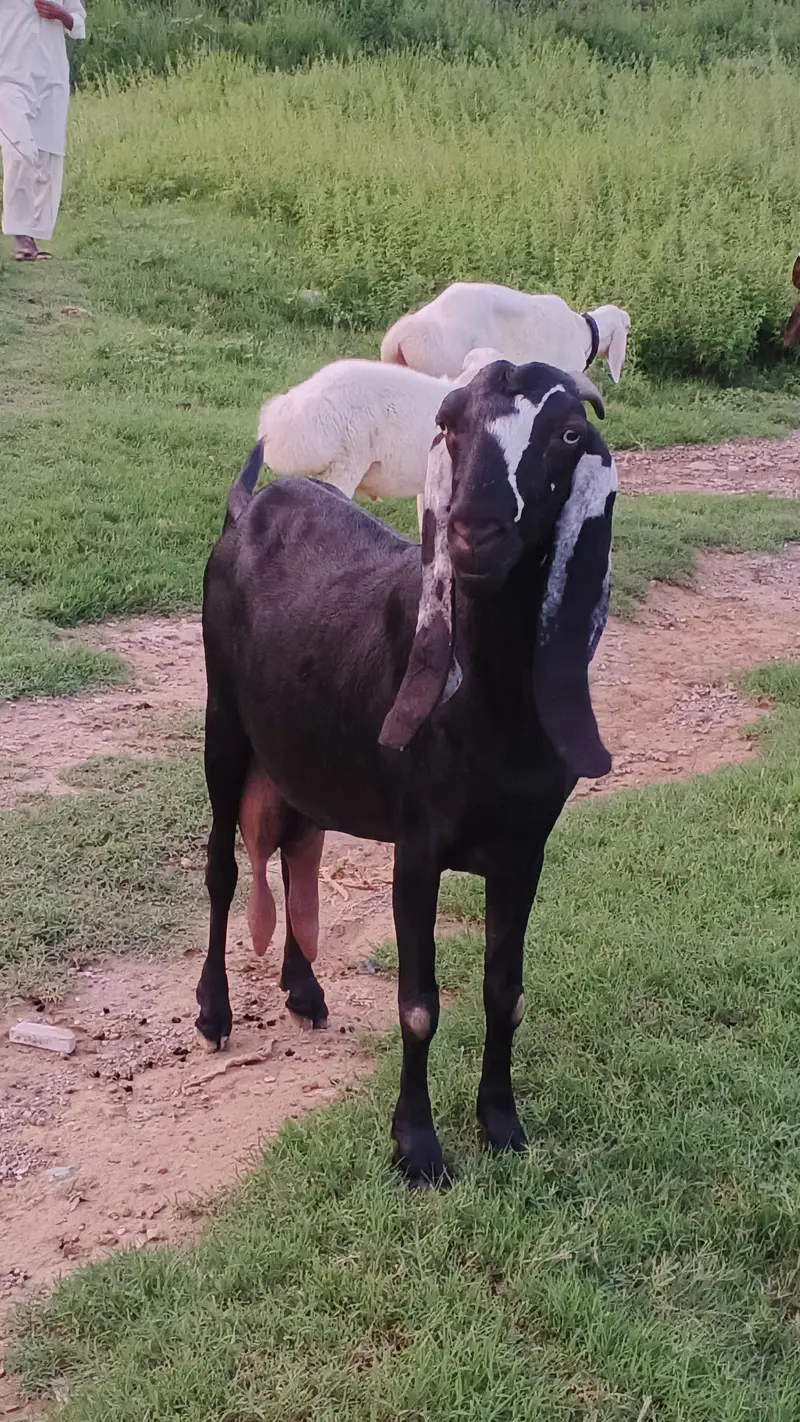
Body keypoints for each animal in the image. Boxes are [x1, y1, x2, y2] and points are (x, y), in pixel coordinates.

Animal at [197, 359, 617, 1186]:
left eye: (568, 433)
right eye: (449, 424)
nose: (473, 532)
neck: (487, 704)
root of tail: (246, 509)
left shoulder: (525, 850)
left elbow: (506, 992)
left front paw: (502, 1124)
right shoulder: (418, 849)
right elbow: (419, 1003)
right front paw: (417, 1147)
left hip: (302, 751)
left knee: (297, 849)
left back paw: (303, 988)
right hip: (223, 721)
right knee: (223, 868)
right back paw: (214, 1010)